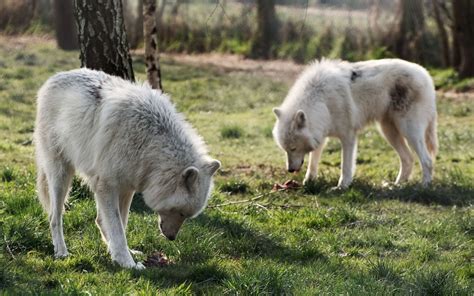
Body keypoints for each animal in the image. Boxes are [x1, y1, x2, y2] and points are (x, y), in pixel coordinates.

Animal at [34, 69, 221, 268]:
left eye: (187, 216)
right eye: (180, 212)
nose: (171, 238)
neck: (149, 142)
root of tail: (53, 77)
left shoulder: (127, 186)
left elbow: (121, 225)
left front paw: (123, 254)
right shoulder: (106, 186)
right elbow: (117, 228)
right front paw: (128, 263)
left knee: (98, 220)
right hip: (61, 176)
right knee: (54, 217)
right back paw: (61, 252)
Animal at [272, 58, 438, 187]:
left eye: (293, 148)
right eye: (285, 149)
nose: (290, 170)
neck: (322, 99)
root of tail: (426, 74)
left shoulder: (348, 136)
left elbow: (346, 166)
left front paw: (342, 187)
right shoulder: (321, 135)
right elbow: (313, 162)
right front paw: (309, 181)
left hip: (408, 131)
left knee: (427, 160)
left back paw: (424, 186)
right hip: (389, 132)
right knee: (408, 159)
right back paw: (396, 185)